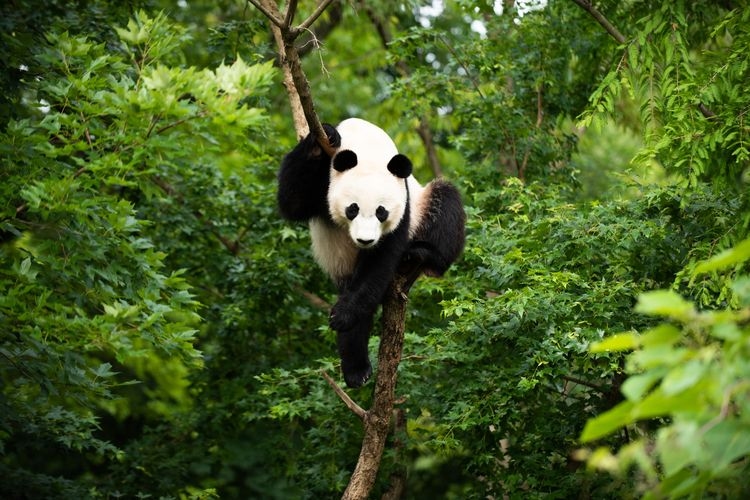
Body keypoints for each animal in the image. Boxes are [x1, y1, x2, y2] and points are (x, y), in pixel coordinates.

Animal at [278, 118, 465, 388]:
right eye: (352, 209)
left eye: (381, 212)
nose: (365, 240)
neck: (368, 150)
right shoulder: (325, 178)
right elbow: (292, 201)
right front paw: (323, 136)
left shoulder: (404, 201)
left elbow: (381, 258)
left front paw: (343, 315)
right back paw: (357, 370)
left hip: (425, 206)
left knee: (446, 201)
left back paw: (422, 256)